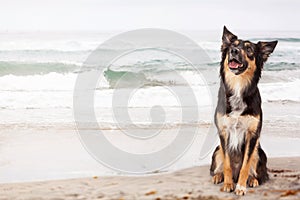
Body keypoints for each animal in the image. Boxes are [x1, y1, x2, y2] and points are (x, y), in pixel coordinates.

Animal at [210, 26, 278, 195]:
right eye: (232, 45)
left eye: (248, 49)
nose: (233, 51)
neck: (238, 86)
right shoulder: (224, 132)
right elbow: (227, 163)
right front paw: (228, 184)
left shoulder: (252, 135)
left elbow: (245, 165)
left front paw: (240, 187)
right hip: (217, 150)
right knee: (219, 166)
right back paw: (218, 176)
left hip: (259, 153)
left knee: (255, 170)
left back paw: (252, 180)